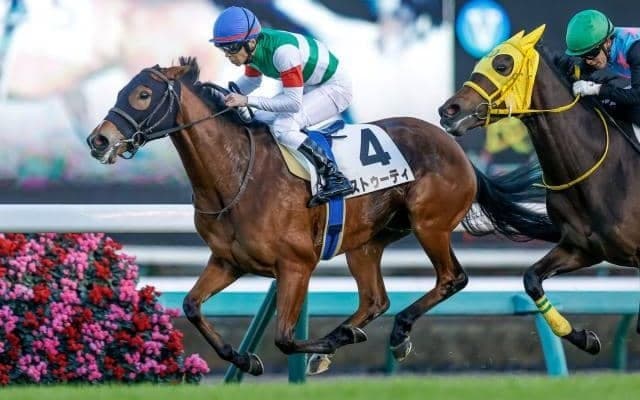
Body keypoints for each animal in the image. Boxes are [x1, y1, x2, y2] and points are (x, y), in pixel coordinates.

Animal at [86, 57, 558, 376]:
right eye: (120, 91)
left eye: (143, 95)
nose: (99, 140)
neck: (236, 174)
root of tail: (456, 147)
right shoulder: (228, 261)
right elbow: (191, 305)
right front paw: (244, 358)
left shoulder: (296, 264)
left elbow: (284, 337)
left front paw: (311, 347)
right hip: (366, 243)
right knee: (375, 299)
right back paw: (343, 336)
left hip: (430, 224)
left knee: (450, 279)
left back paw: (389, 335)